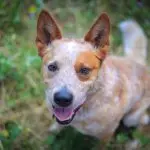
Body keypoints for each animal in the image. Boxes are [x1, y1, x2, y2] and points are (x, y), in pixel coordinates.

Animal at [35, 9, 150, 142]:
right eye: (52, 67)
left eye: (85, 70)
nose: (62, 99)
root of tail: (138, 63)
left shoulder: (106, 134)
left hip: (131, 118)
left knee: (144, 123)